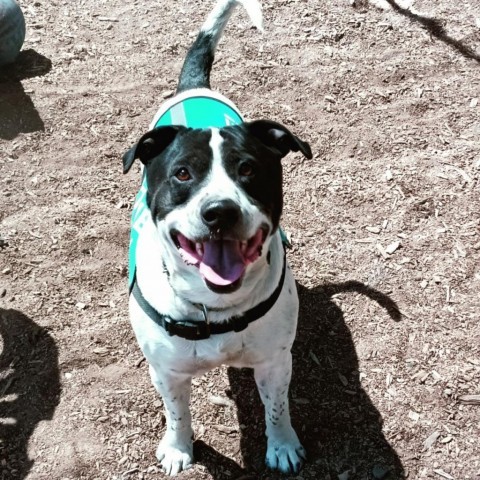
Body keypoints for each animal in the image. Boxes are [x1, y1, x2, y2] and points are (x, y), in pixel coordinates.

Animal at [122, 0, 314, 474]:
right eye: (182, 173)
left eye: (248, 169)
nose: (220, 212)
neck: (215, 308)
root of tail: (194, 87)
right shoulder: (167, 372)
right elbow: (176, 412)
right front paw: (177, 448)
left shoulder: (274, 361)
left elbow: (277, 408)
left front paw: (282, 446)